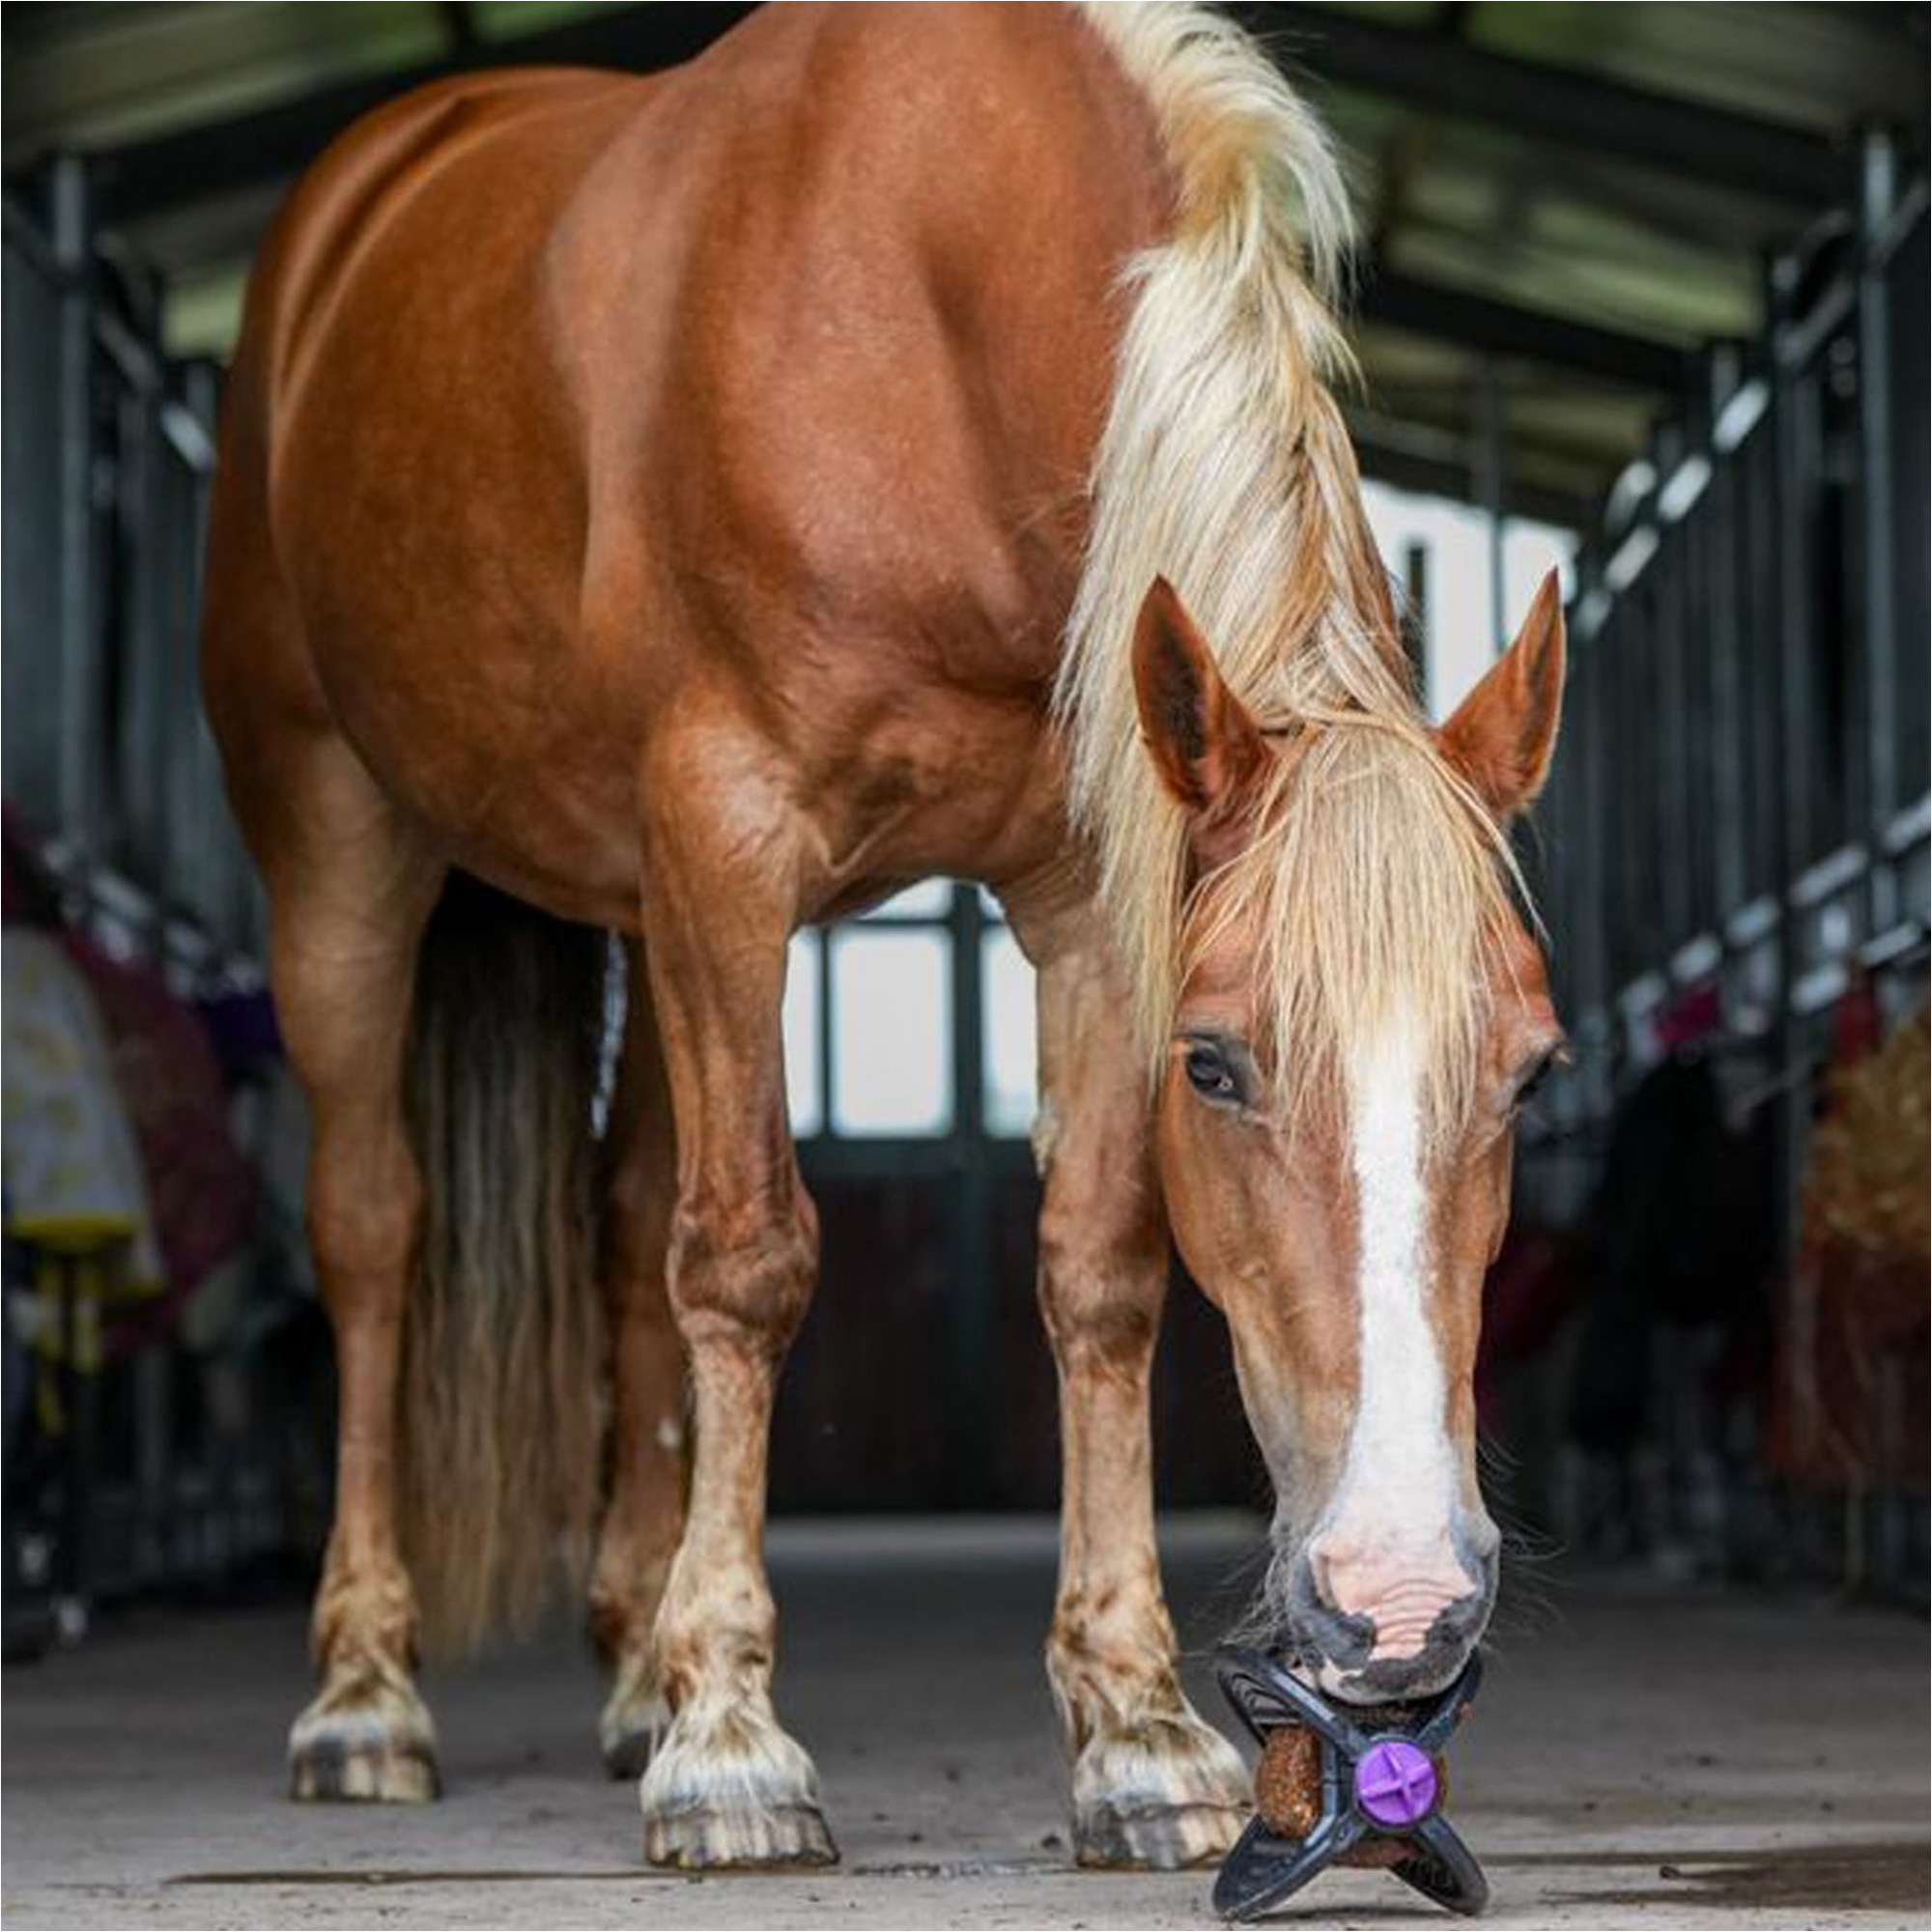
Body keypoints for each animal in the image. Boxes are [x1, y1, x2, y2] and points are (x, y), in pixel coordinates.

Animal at [200, 0, 1566, 1872]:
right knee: (375, 1236)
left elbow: (1096, 1277)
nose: (1404, 1596)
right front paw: (730, 1746)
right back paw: (364, 1697)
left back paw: (626, 1676)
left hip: (633, 908)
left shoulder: (1080, 891)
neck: (923, 310)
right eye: (1216, 1065)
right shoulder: (730, 839)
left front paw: (1137, 1736)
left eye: (1530, 1074)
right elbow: (750, 1259)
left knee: (622, 1225)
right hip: (345, 845)